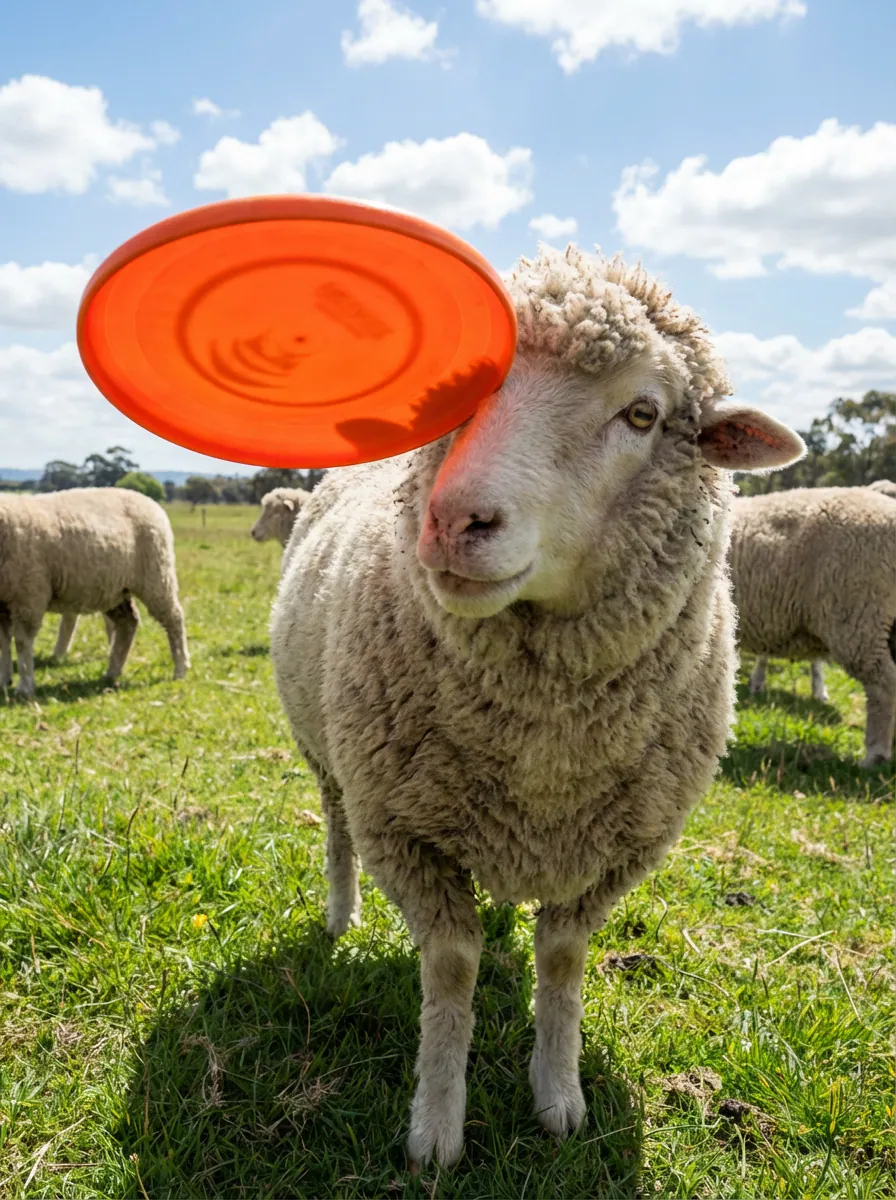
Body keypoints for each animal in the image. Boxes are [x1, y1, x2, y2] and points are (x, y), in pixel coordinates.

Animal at [0, 487, 190, 697]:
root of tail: (149, 500)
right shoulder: (3, 603)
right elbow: (3, 643)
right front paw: (4, 681)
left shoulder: (28, 597)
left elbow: (22, 642)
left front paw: (24, 688)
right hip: (114, 590)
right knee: (128, 622)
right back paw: (113, 672)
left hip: (156, 575)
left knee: (174, 618)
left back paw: (180, 668)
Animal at [269, 244, 805, 1167]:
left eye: (642, 413)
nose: (454, 519)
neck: (544, 743)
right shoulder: (402, 830)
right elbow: (451, 968)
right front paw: (437, 1126)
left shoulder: (615, 849)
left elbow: (561, 961)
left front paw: (558, 1096)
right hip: (332, 758)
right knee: (336, 827)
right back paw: (341, 915)